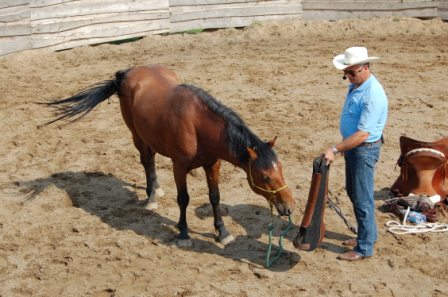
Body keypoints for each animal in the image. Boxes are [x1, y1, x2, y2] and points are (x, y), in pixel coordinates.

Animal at [43, 65, 296, 247]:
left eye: (282, 170)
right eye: (265, 177)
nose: (289, 208)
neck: (197, 125)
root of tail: (125, 73)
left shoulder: (213, 164)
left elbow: (215, 197)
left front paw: (222, 232)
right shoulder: (179, 166)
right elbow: (183, 199)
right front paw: (183, 233)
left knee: (151, 159)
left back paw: (155, 189)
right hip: (136, 135)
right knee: (147, 161)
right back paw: (151, 197)